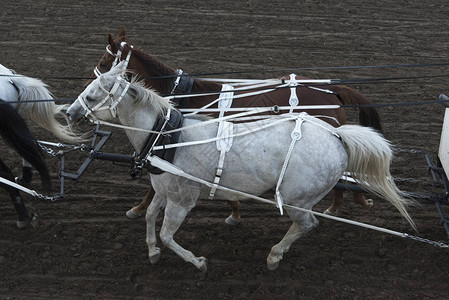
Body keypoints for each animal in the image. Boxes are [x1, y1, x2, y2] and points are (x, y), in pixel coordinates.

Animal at [65, 62, 412, 272]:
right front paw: (151, 251)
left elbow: (167, 234)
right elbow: (151, 217)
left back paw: (275, 254)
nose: (69, 112)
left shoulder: (182, 200)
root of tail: (337, 135)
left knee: (306, 224)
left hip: (297, 199)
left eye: (92, 95)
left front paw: (197, 261)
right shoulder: (164, 190)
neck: (167, 137)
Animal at [88, 28, 382, 223]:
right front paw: (234, 209)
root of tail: (332, 91)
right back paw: (339, 205)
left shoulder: (172, 145)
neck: (183, 96)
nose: (87, 93)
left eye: (103, 63)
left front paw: (138, 208)